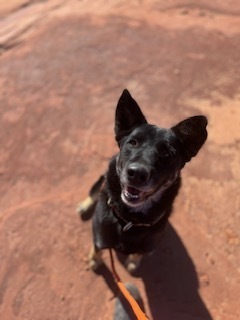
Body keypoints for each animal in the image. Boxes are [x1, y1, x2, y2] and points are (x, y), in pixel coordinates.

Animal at [78, 89, 207, 272]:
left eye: (167, 154)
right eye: (133, 142)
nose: (136, 173)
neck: (129, 221)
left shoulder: (149, 245)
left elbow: (138, 253)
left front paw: (133, 262)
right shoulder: (101, 235)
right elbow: (97, 247)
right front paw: (94, 260)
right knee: (96, 189)